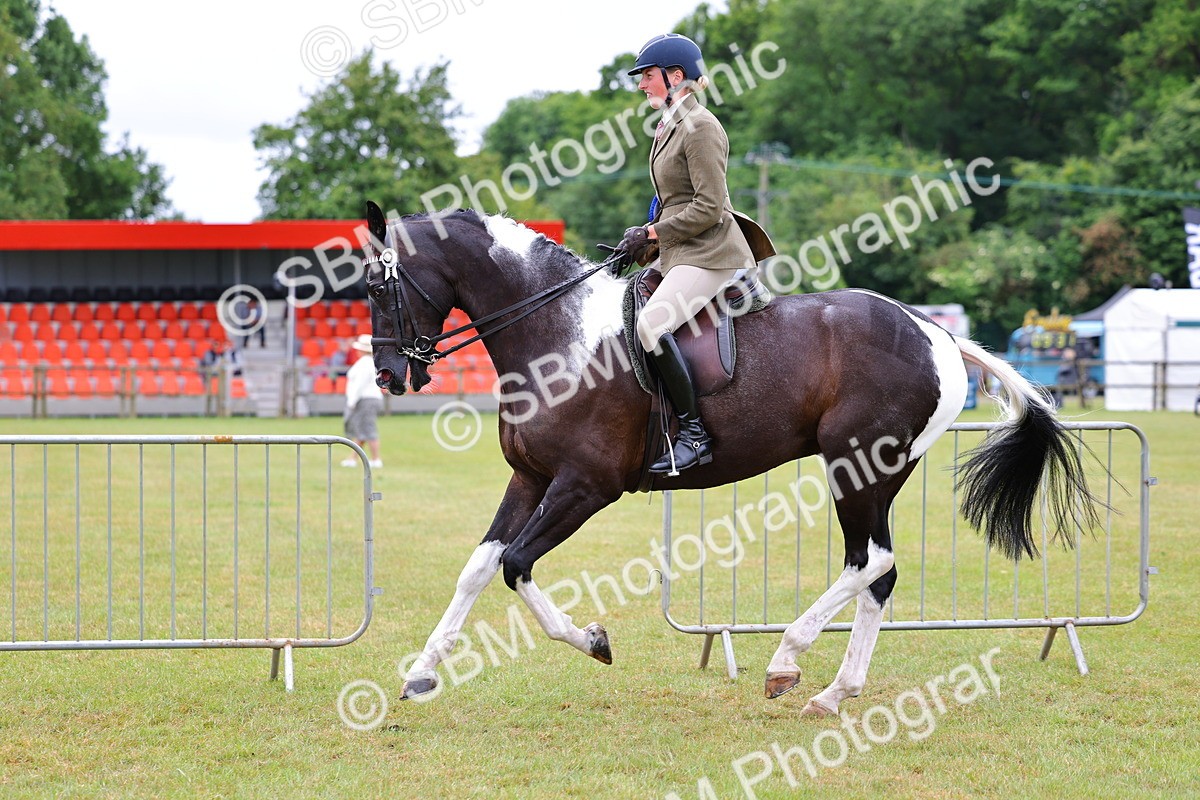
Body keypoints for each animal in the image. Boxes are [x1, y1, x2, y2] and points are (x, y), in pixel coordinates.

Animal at [361, 201, 1100, 714]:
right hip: (878, 476)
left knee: (869, 562)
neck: (558, 332)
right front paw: (422, 672)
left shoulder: (585, 485)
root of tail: (935, 332)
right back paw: (834, 691)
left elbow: (516, 565)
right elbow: (479, 569)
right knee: (879, 573)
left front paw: (594, 641)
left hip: (857, 467)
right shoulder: (531, 477)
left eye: (375, 288)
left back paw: (787, 659)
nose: (390, 377)